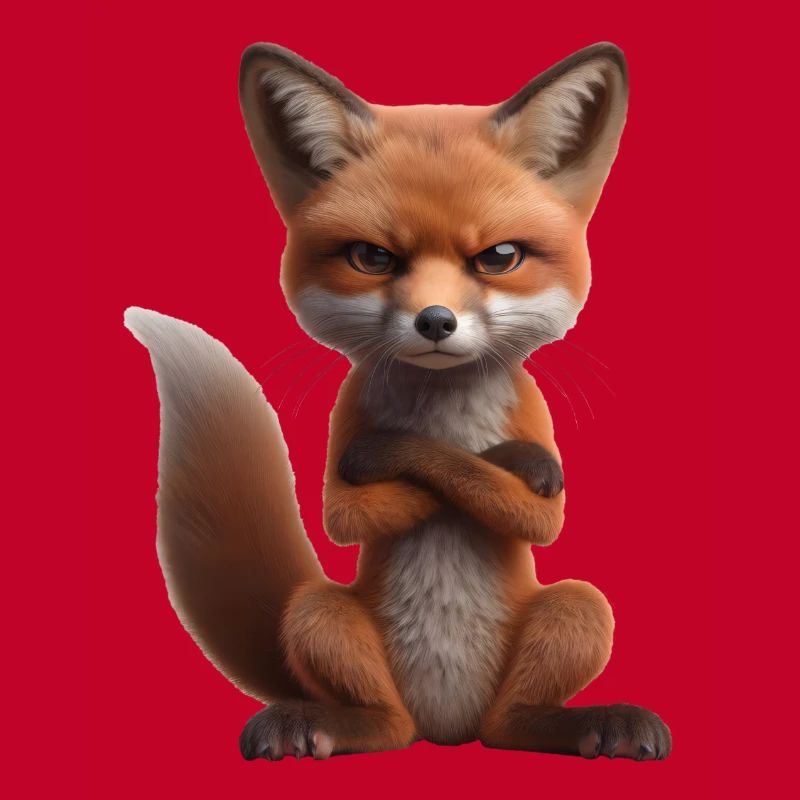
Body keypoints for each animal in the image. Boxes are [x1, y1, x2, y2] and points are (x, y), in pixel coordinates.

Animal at [125, 41, 672, 762]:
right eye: (372, 258)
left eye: (498, 257)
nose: (435, 321)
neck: (443, 410)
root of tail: (449, 727)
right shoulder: (347, 431)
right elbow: (355, 507)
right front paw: (438, 456)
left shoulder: (533, 427)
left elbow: (526, 508)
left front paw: (513, 463)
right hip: (321, 613)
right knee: (387, 724)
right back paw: (316, 723)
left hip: (578, 607)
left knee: (512, 722)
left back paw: (591, 723)